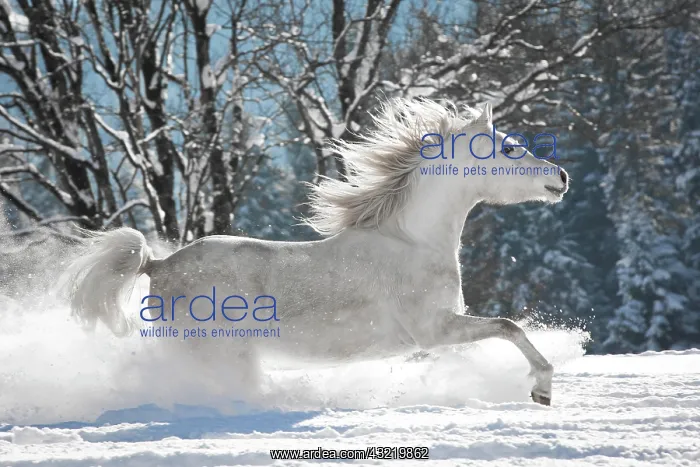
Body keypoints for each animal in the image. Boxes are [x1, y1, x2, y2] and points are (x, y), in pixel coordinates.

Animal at [62, 98, 569, 406]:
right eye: (510, 147)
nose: (560, 178)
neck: (413, 242)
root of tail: (159, 263)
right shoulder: (434, 330)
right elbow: (509, 326)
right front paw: (542, 390)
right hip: (215, 352)